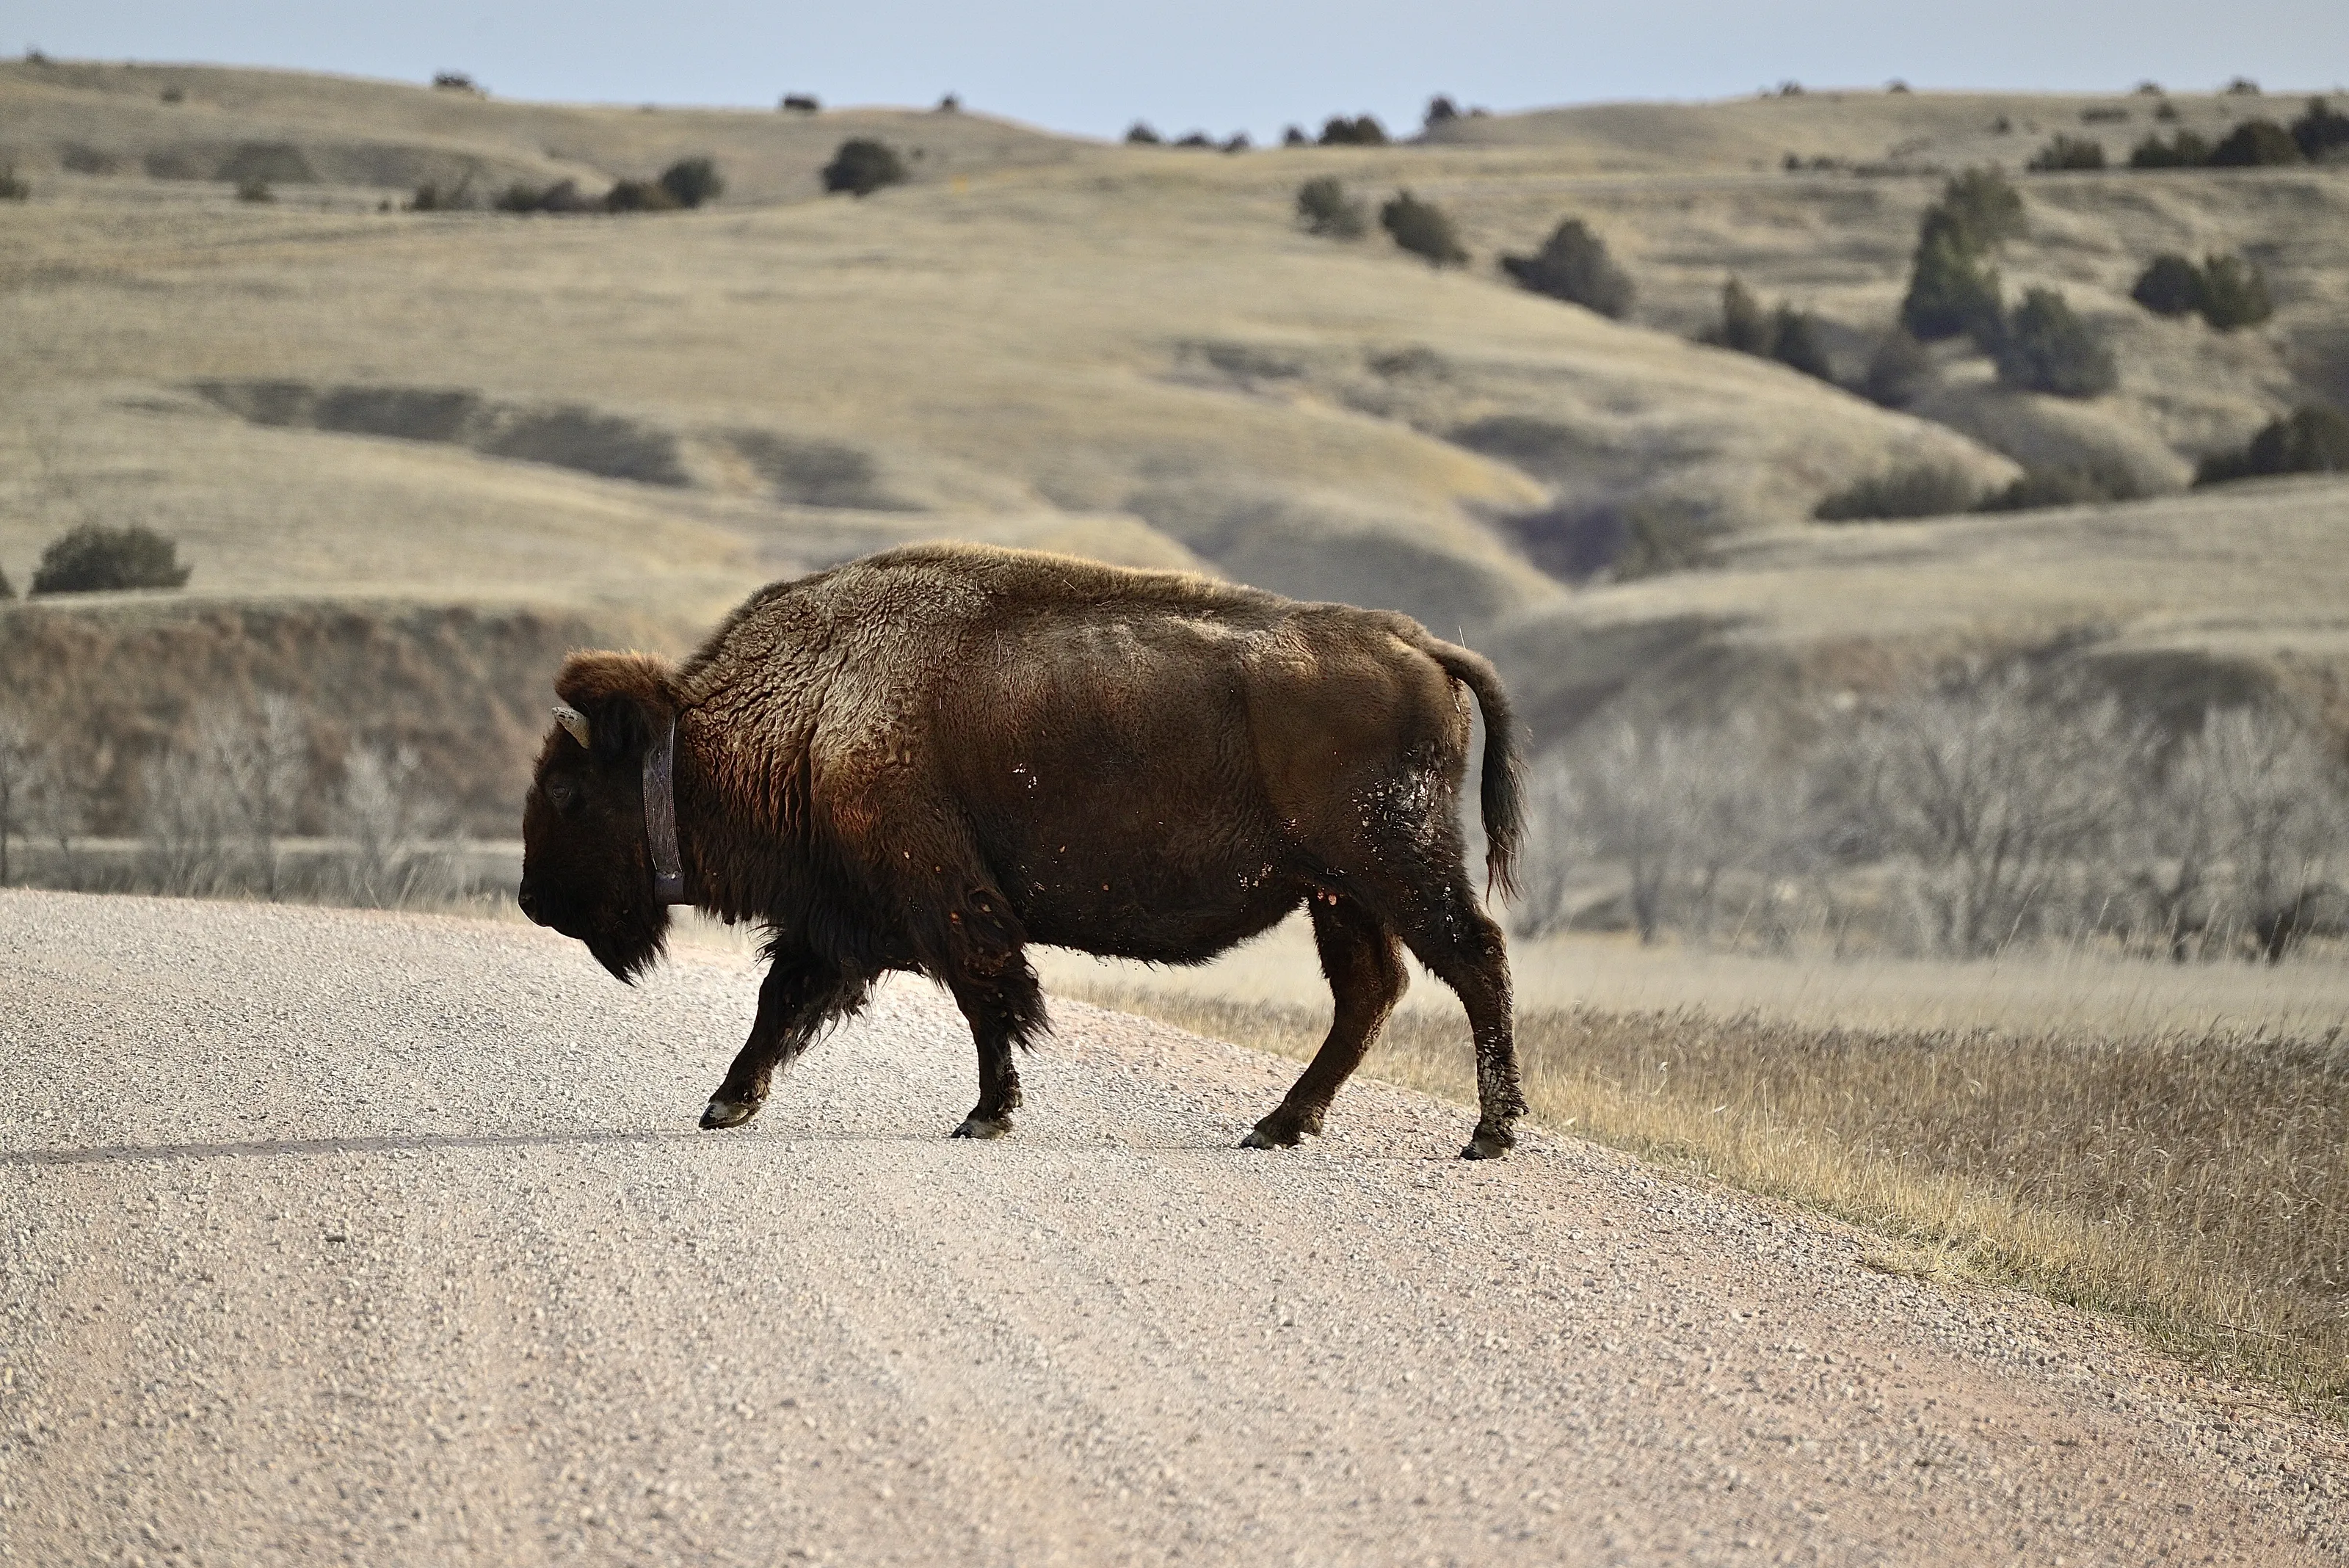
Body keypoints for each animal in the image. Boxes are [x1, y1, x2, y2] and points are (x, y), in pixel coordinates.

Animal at [517, 543, 1527, 1157]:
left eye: (568, 792)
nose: (531, 900)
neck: (807, 711)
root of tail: (1418, 645)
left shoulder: (939, 902)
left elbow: (985, 1001)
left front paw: (985, 1117)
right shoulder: (841, 923)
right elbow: (783, 1002)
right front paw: (726, 1103)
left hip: (1391, 866)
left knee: (1471, 960)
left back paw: (1488, 1134)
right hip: (1338, 890)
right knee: (1371, 991)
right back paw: (1277, 1126)